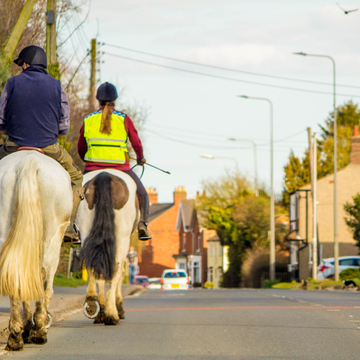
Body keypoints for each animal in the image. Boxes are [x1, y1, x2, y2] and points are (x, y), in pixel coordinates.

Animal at [0, 151, 72, 352]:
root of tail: (28, 160)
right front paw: (35, 327)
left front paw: (25, 328)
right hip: (50, 236)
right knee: (43, 273)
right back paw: (39, 330)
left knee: (14, 273)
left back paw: (15, 336)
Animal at [76, 170, 139, 324]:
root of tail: (104, 175)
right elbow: (120, 274)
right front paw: (119, 307)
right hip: (122, 237)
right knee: (115, 270)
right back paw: (111, 313)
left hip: (86, 231)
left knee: (94, 265)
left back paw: (94, 304)